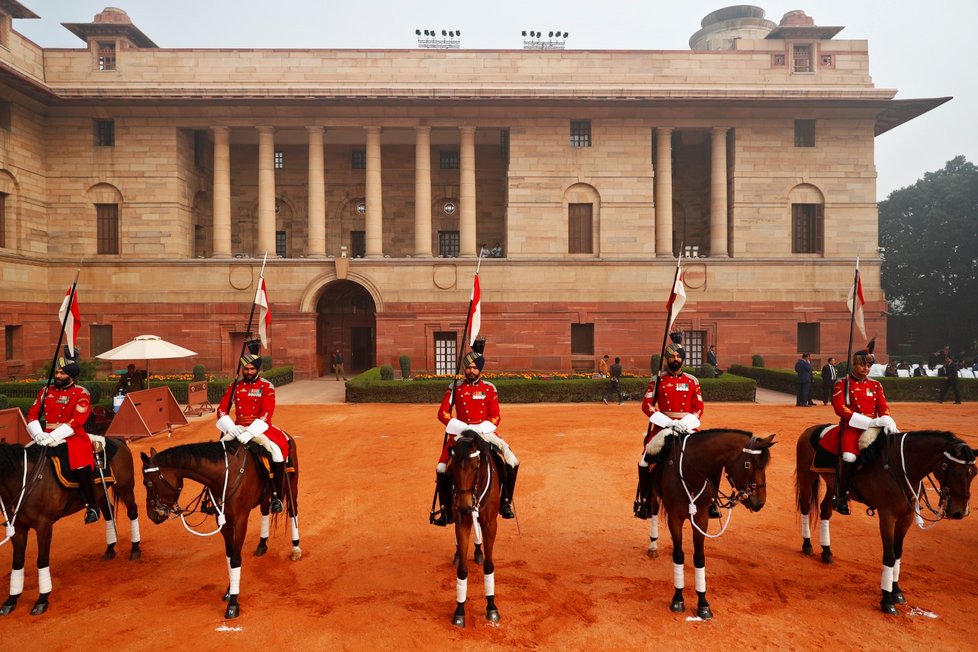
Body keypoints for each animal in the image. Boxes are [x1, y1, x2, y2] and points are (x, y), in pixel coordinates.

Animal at [0, 438, 142, 616]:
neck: (23, 480)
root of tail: (118, 440)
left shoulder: (44, 525)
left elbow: (42, 560)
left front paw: (42, 599)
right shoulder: (18, 529)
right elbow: (17, 562)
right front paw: (11, 599)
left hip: (125, 487)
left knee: (132, 512)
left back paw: (135, 548)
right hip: (100, 493)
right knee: (108, 512)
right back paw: (110, 547)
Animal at [138, 438, 298, 616]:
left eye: (147, 482)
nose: (151, 515)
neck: (224, 476)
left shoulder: (240, 519)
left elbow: (235, 558)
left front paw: (233, 603)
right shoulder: (223, 520)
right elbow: (229, 556)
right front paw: (230, 591)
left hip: (291, 486)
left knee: (293, 511)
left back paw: (296, 548)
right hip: (265, 496)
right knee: (265, 511)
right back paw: (262, 544)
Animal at [446, 428, 500, 628]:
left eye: (475, 467)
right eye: (452, 468)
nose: (464, 507)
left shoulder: (490, 524)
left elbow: (489, 566)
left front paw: (491, 606)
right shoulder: (462, 523)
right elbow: (462, 569)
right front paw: (460, 610)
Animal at [652, 430, 772, 620]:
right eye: (749, 464)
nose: (760, 502)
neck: (690, 473)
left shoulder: (701, 519)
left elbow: (700, 558)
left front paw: (703, 604)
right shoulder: (675, 519)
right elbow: (678, 556)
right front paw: (677, 599)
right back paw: (652, 546)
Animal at [792, 426, 968, 612]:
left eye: (974, 473)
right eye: (955, 472)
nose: (960, 512)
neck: (902, 468)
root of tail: (810, 429)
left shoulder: (907, 516)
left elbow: (898, 553)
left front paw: (896, 591)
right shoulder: (887, 516)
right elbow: (889, 556)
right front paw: (887, 600)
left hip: (833, 485)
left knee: (826, 511)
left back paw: (827, 551)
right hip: (806, 476)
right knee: (805, 508)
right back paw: (807, 544)